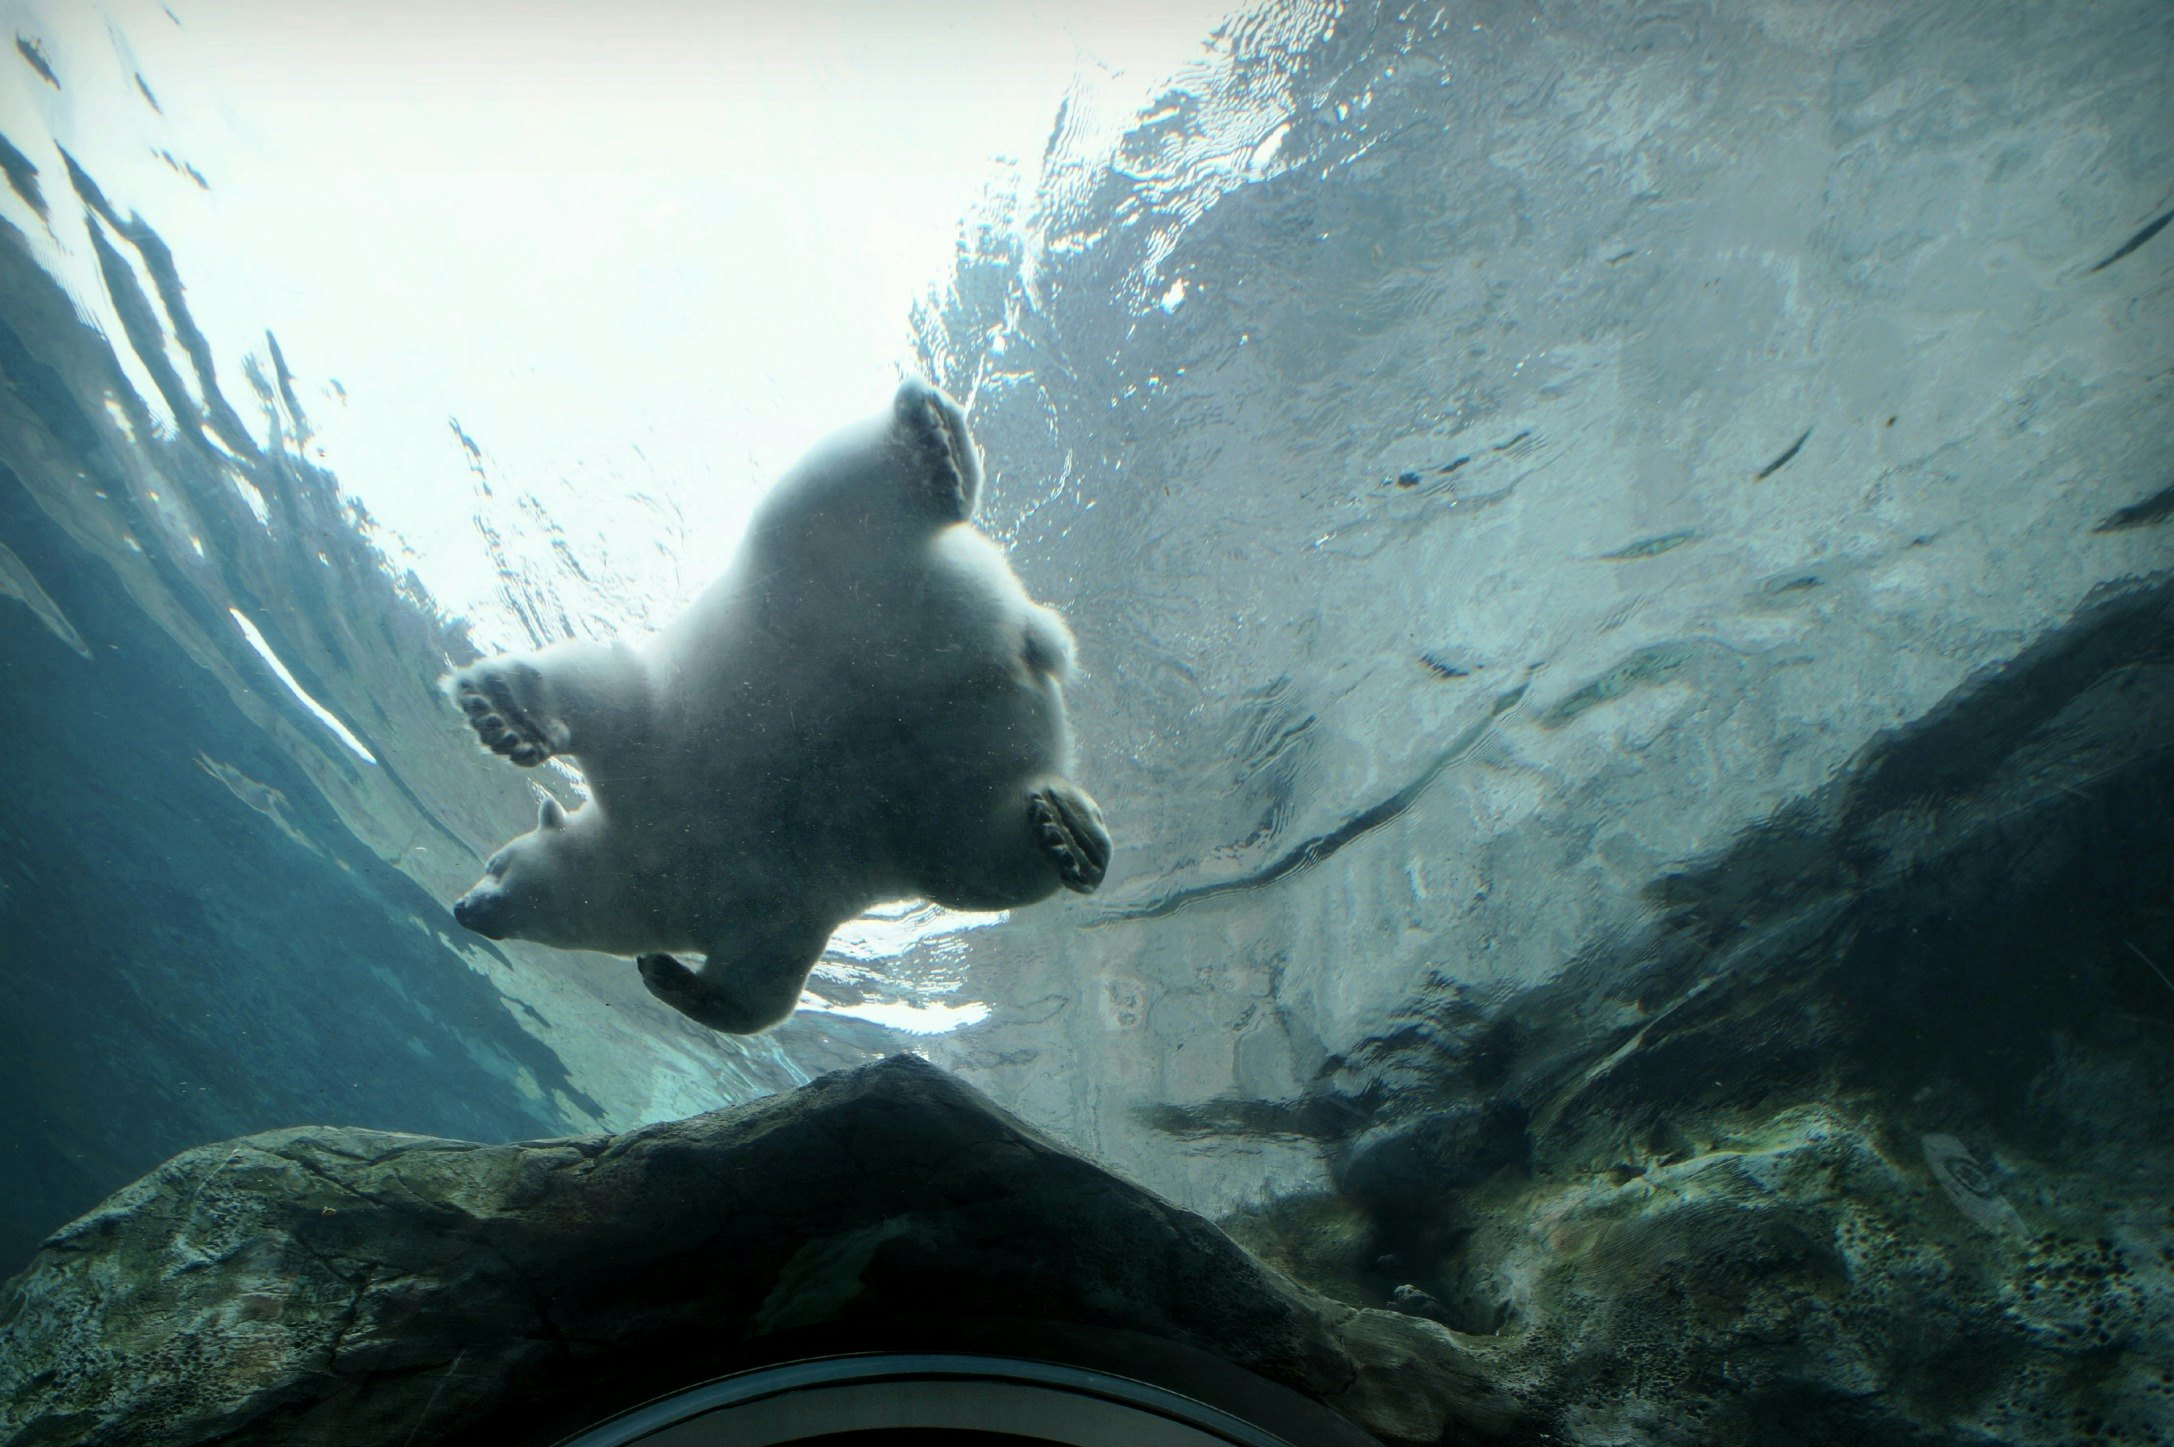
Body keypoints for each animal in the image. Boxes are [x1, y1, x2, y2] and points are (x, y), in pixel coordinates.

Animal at [446, 379, 1110, 1034]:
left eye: (495, 860)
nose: (461, 906)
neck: (646, 865)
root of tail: (1031, 634)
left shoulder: (656, 746)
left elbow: (606, 686)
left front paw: (503, 712)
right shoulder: (769, 907)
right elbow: (763, 987)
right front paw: (671, 977)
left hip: (808, 582)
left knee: (818, 498)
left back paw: (928, 440)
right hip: (951, 792)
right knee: (982, 861)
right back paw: (1069, 833)